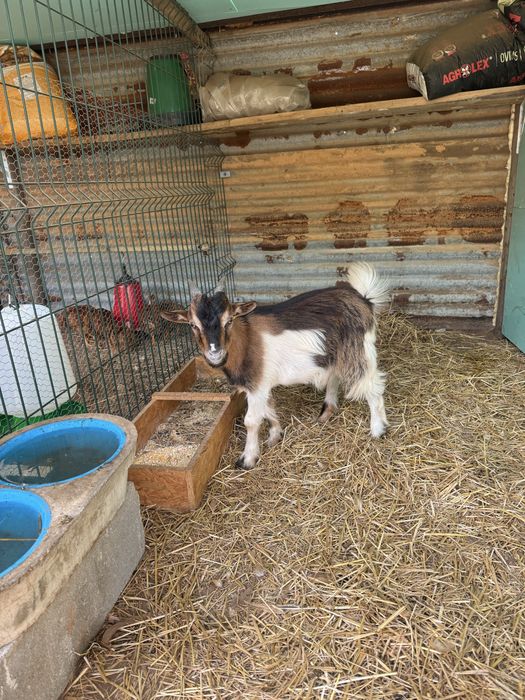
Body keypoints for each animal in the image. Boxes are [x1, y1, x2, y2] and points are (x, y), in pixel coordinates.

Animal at [161, 263, 390, 469]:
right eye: (193, 325)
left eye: (229, 320)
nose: (214, 352)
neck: (246, 340)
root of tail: (364, 300)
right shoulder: (259, 385)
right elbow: (268, 408)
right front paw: (274, 436)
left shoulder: (257, 386)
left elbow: (251, 420)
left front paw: (247, 459)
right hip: (334, 354)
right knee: (335, 376)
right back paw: (326, 412)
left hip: (358, 351)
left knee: (373, 386)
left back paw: (378, 429)